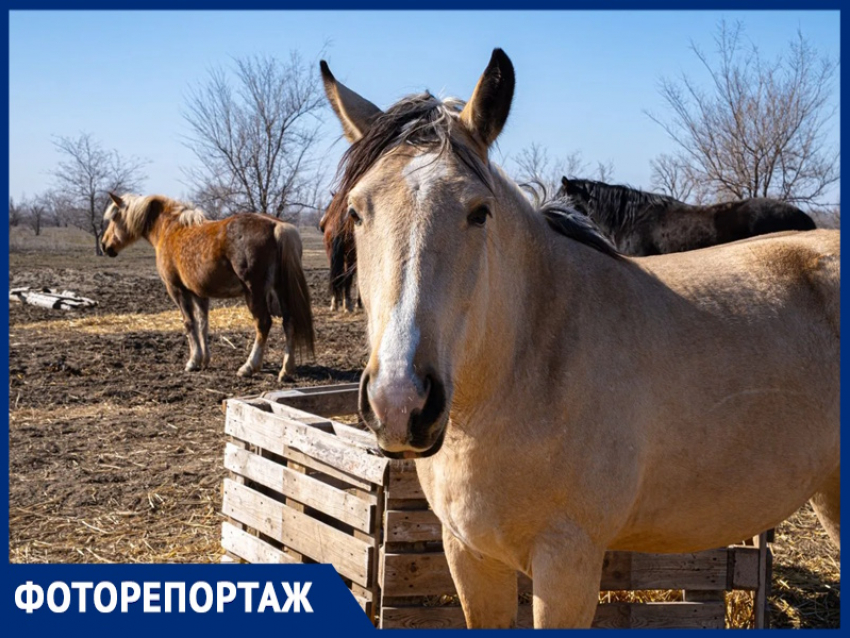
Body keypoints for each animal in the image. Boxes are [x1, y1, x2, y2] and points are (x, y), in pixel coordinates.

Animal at [101, 194, 315, 380]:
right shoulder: (199, 294)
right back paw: (286, 370)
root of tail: (277, 226)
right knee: (289, 322)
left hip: (254, 292)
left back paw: (249, 366)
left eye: (115, 217)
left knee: (263, 324)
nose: (104, 245)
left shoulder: (177, 290)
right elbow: (203, 325)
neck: (169, 229)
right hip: (281, 289)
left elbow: (189, 324)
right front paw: (204, 360)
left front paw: (193, 361)